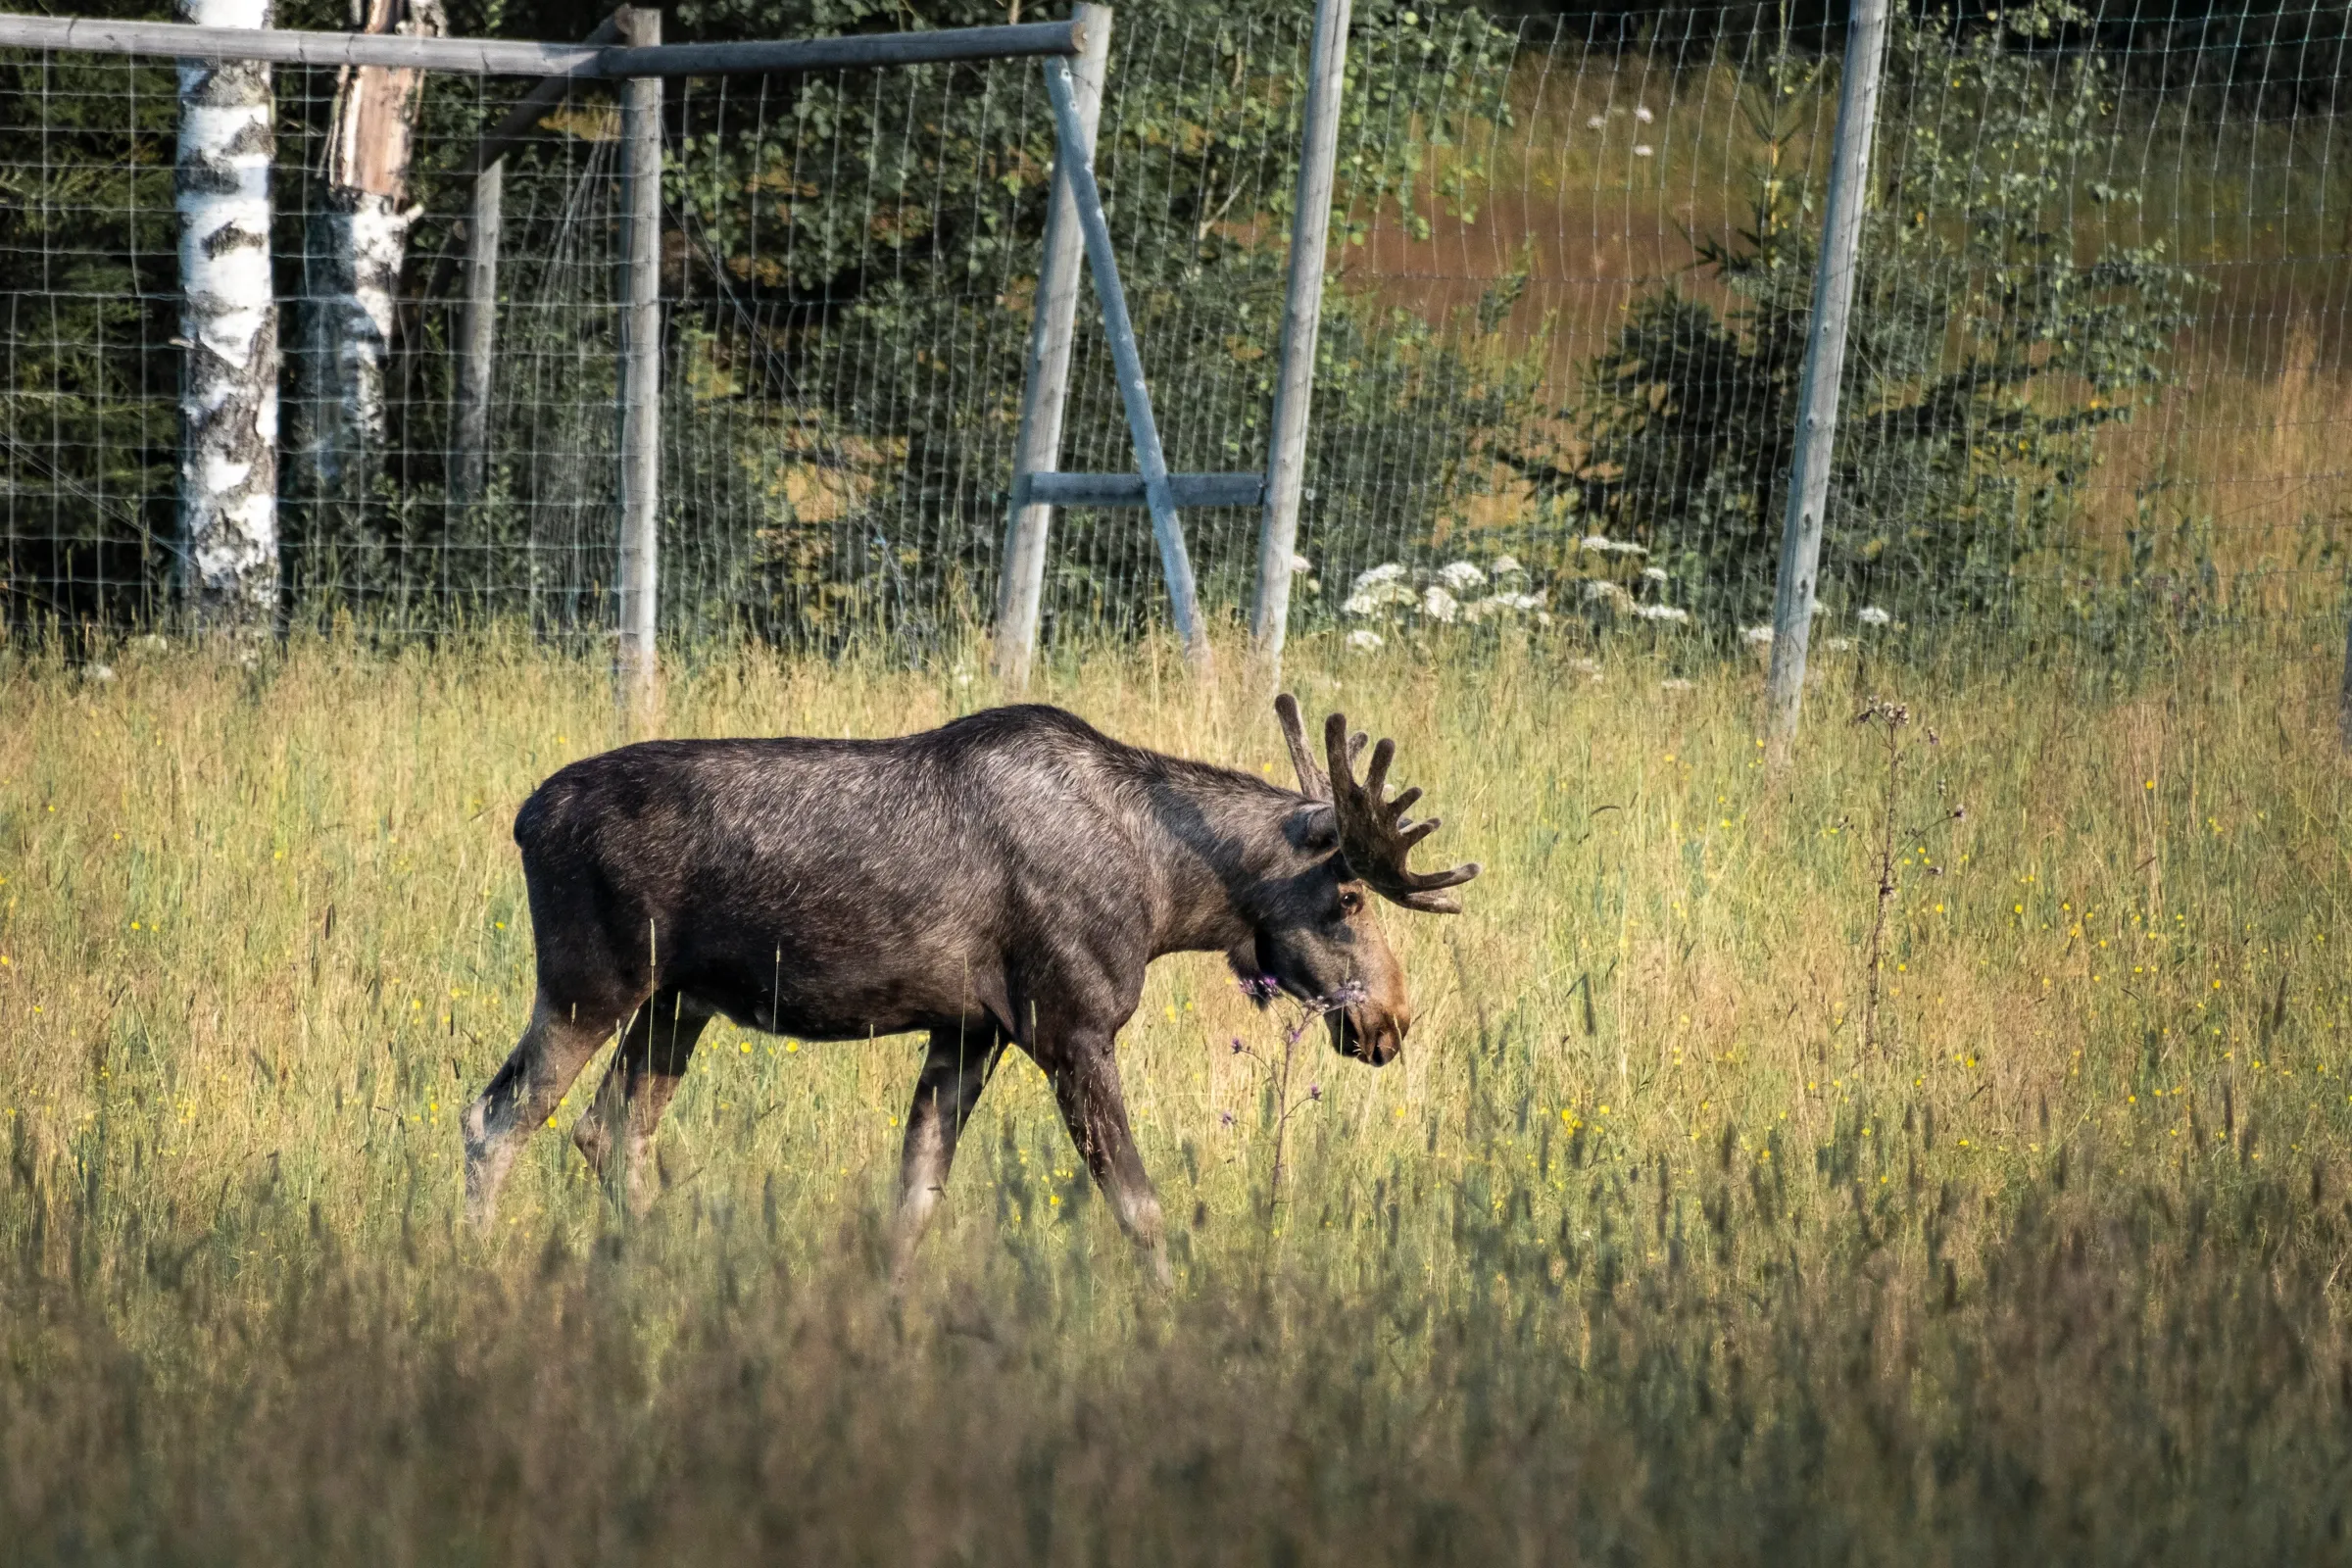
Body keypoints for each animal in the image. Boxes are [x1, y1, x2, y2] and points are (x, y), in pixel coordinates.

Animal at [460, 694, 1478, 1282]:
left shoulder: (968, 1031)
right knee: (496, 1117)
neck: (1166, 894)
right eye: (1349, 896)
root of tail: (523, 818)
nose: (1393, 1021)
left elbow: (914, 1198)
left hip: (677, 1004)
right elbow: (1141, 1208)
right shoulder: (1070, 1028)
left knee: (608, 1131)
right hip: (591, 982)